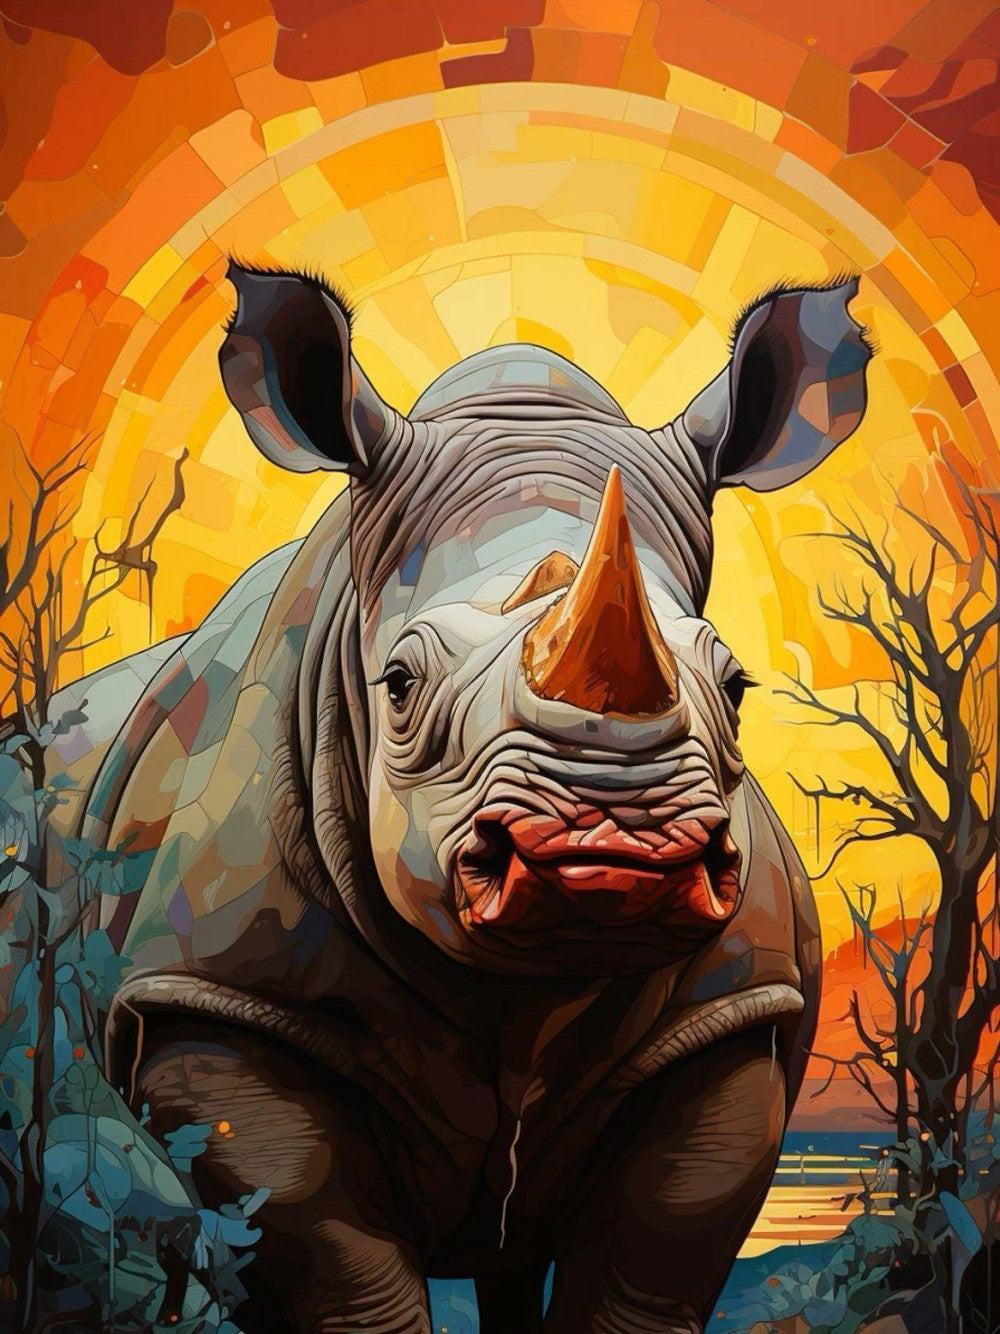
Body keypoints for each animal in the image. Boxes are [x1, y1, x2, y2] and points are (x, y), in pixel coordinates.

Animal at [47, 264, 870, 1333]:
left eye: (734, 687)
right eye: (397, 684)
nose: (614, 837)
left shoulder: (735, 1014)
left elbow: (647, 1266)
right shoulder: (210, 1003)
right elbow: (334, 1267)